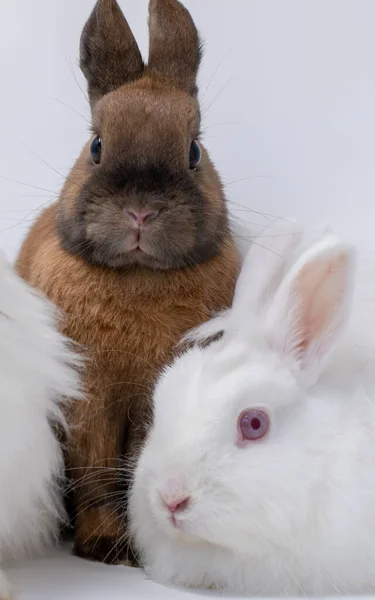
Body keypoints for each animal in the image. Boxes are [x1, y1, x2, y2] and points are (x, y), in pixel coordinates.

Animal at [16, 0, 241, 564]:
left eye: (193, 152)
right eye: (96, 146)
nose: (140, 211)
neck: (138, 278)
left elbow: (135, 467)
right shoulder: (88, 406)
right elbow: (97, 475)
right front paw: (104, 548)